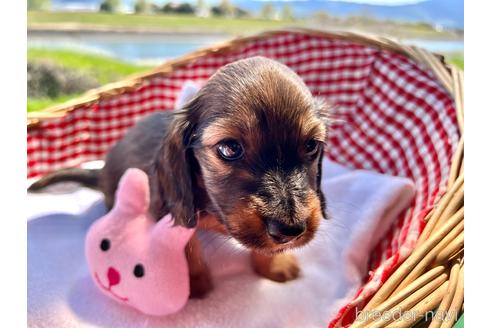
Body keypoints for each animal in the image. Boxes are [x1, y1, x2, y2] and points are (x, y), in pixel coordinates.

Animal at [27, 55, 330, 298]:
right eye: (229, 148)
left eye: (311, 145)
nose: (290, 230)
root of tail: (100, 171)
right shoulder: (170, 211)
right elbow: (187, 249)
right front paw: (191, 284)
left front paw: (275, 264)